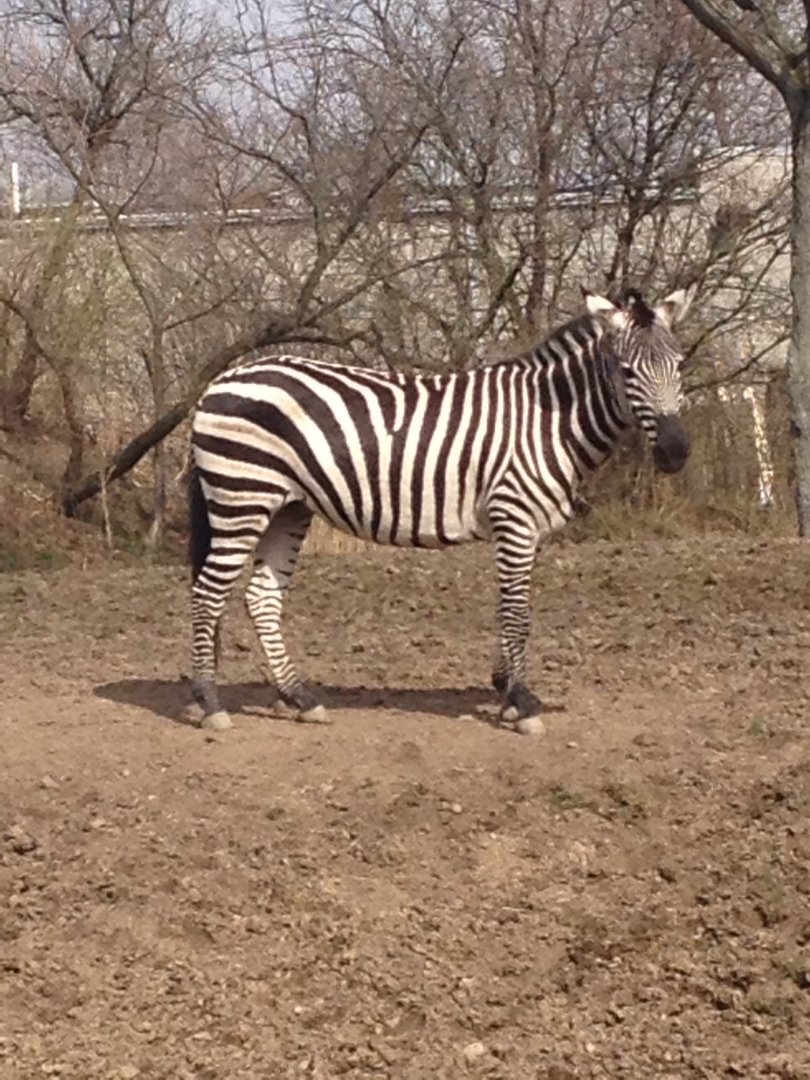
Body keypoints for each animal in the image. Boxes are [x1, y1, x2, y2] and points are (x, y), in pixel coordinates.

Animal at [188, 286, 693, 735]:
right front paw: (522, 703)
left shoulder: (527, 528)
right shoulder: (514, 516)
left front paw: (506, 689)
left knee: (262, 597)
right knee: (208, 593)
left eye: (680, 365)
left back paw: (299, 697)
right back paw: (210, 703)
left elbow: (511, 607)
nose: (675, 452)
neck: (550, 422)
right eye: (626, 370)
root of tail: (218, 381)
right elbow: (518, 613)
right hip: (243, 496)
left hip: (287, 507)